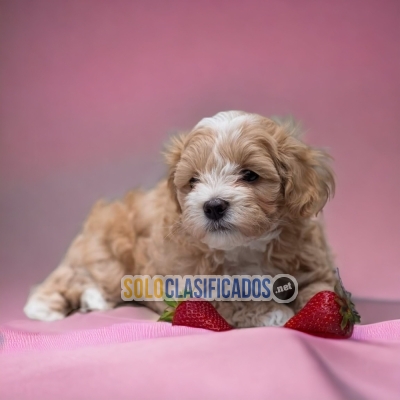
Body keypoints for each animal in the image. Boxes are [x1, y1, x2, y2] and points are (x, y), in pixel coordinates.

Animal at [24, 111, 338, 326]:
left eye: (250, 175)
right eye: (193, 181)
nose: (213, 206)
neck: (244, 247)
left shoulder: (311, 262)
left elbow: (321, 290)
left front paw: (327, 310)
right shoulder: (189, 285)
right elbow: (229, 302)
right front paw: (272, 312)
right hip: (107, 252)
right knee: (75, 276)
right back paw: (54, 305)